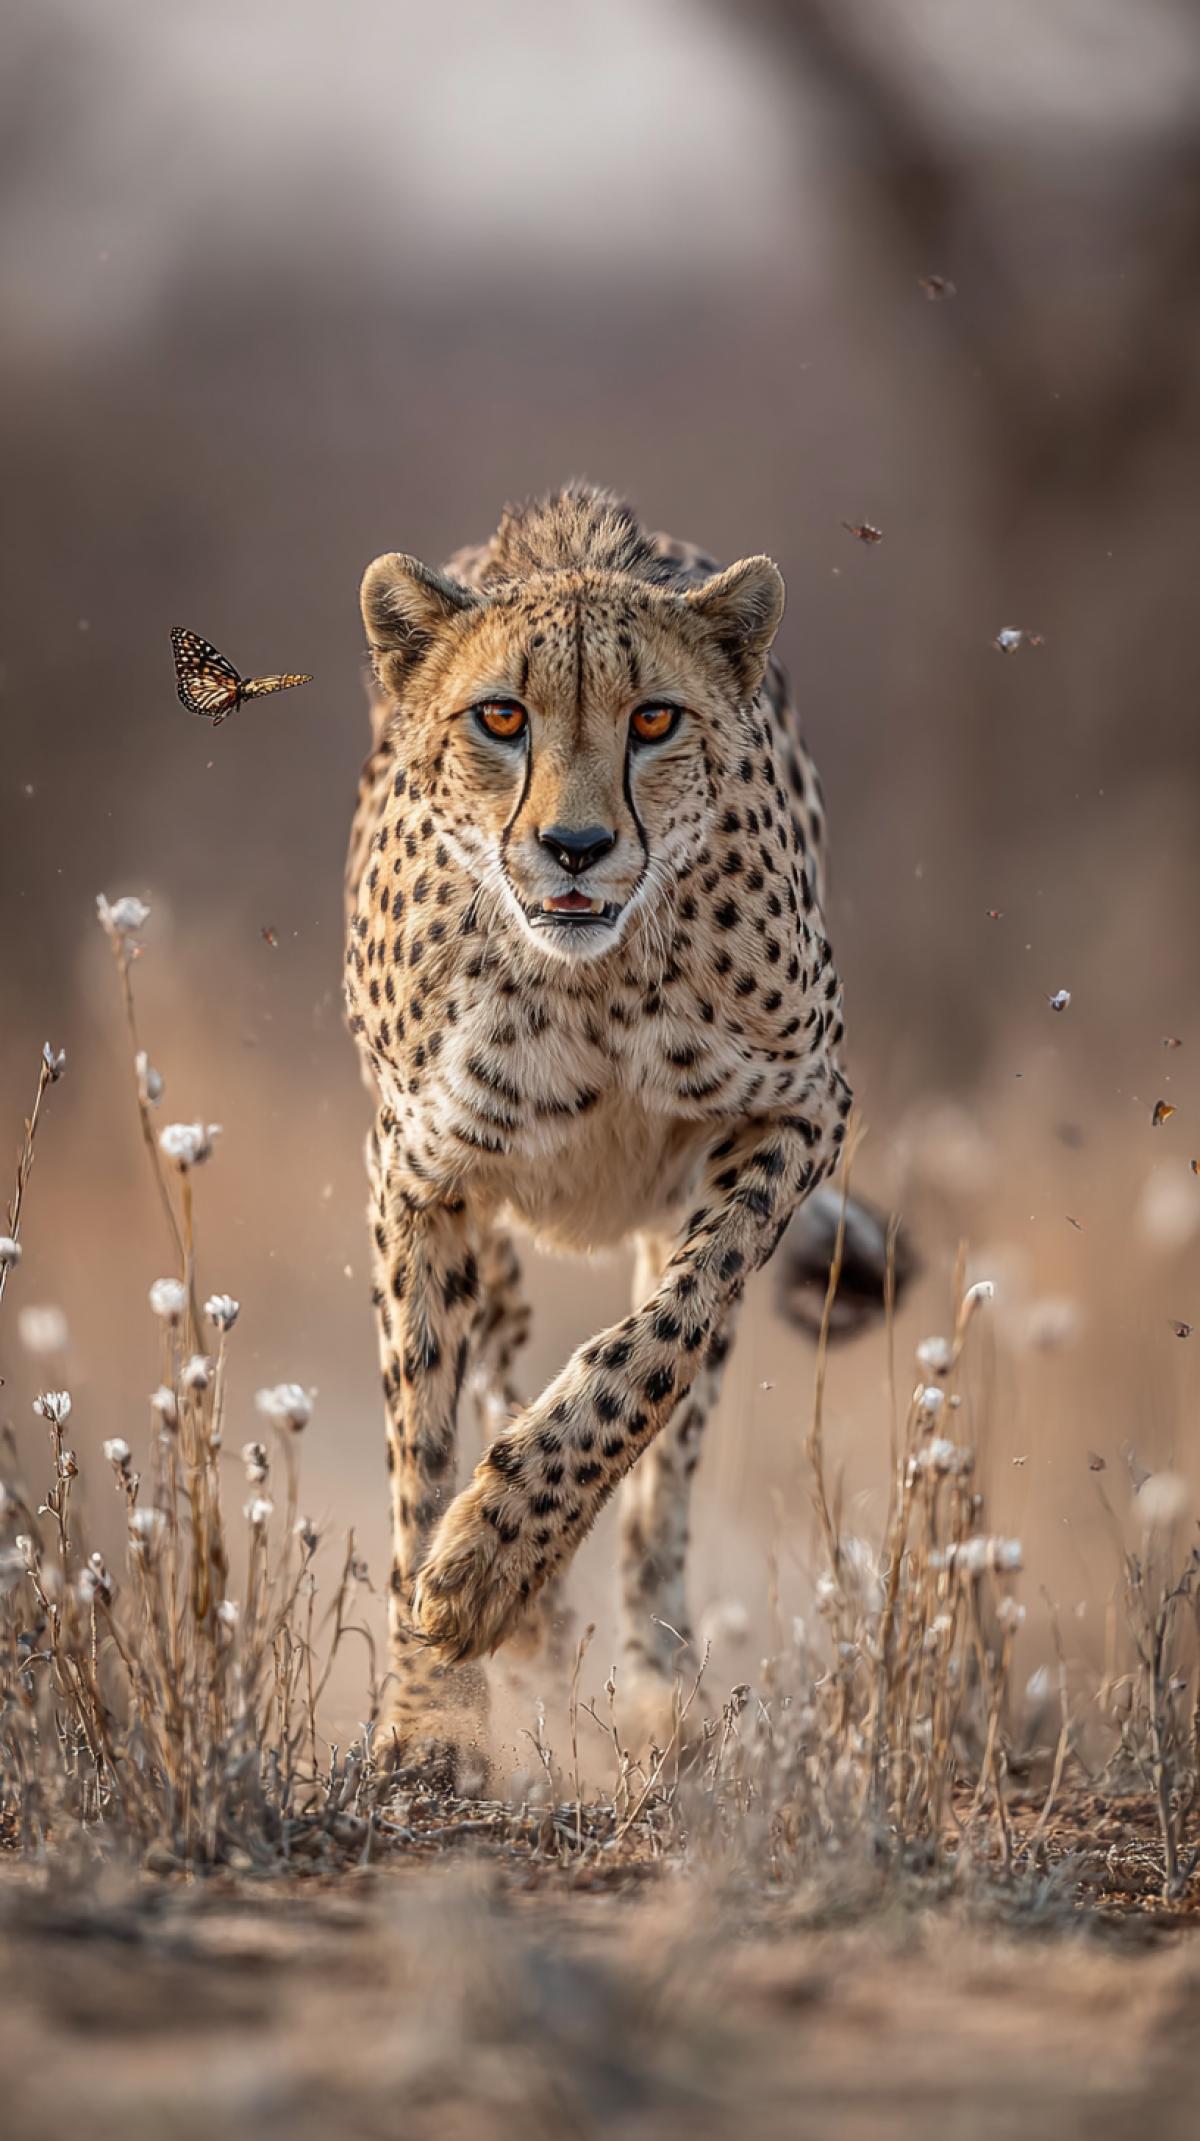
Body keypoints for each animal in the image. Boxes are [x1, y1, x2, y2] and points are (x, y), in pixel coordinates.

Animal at [344, 482, 888, 1784]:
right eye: (501, 716)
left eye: (654, 719)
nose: (577, 849)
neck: (587, 981)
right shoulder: (417, 1171)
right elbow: (418, 1439)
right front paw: (433, 1709)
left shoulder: (799, 1106)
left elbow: (651, 1354)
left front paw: (495, 1555)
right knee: (493, 1356)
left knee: (669, 1456)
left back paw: (656, 1683)